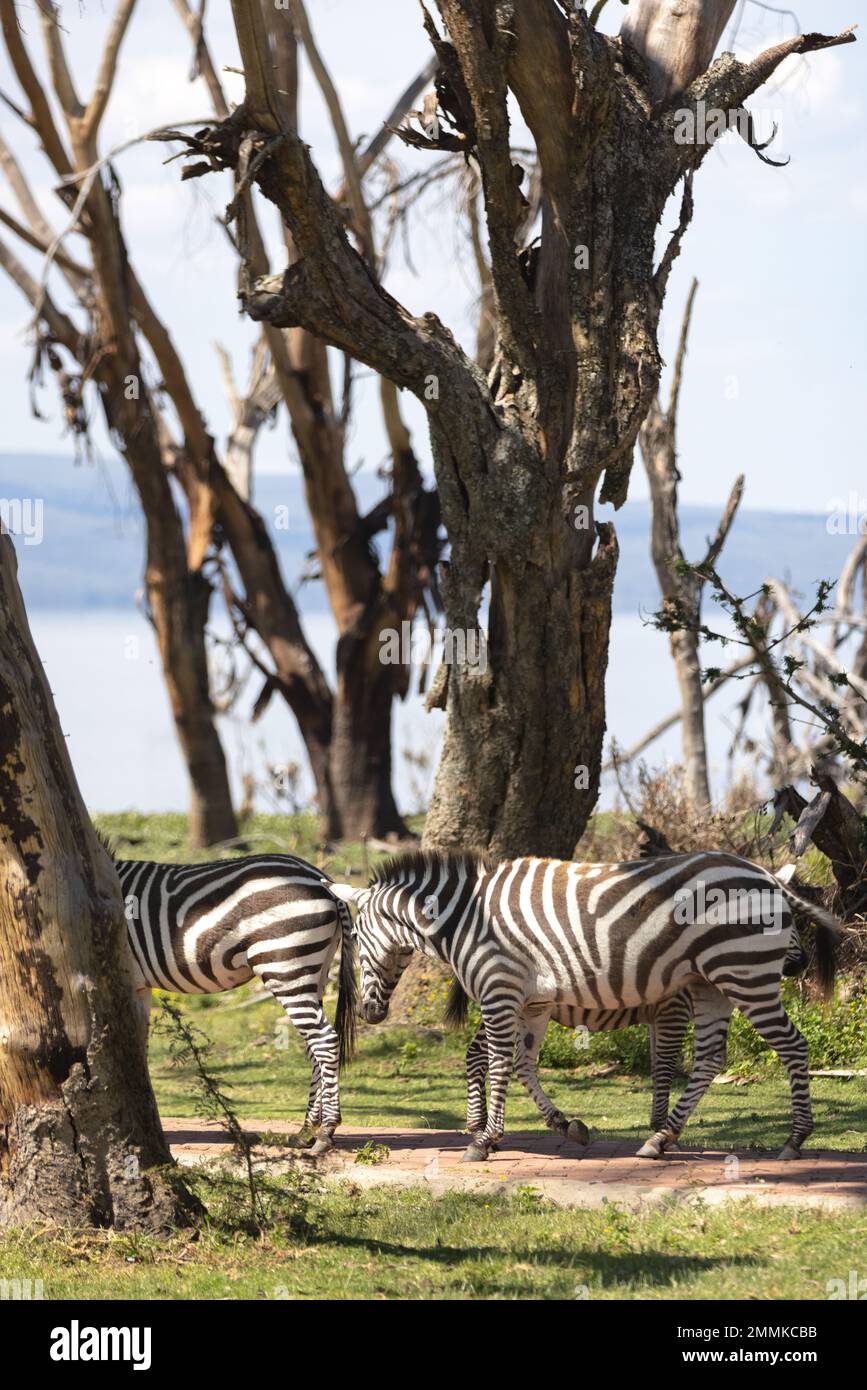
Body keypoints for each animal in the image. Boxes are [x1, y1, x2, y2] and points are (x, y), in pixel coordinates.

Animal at [114, 845, 355, 1150]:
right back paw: (306, 1131)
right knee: (316, 1044)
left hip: (284, 964)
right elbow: (138, 1048)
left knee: (324, 1039)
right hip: (316, 970)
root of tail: (320, 878)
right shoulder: (139, 986)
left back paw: (325, 1132)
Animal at [327, 845, 839, 1162]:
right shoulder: (530, 1002)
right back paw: (660, 1140)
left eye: (355, 942)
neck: (466, 919)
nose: (370, 1013)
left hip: (744, 975)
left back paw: (794, 1140)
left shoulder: (499, 990)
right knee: (713, 1057)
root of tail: (764, 874)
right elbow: (521, 1063)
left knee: (793, 1047)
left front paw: (484, 1141)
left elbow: (499, 1063)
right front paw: (543, 1127)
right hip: (711, 984)